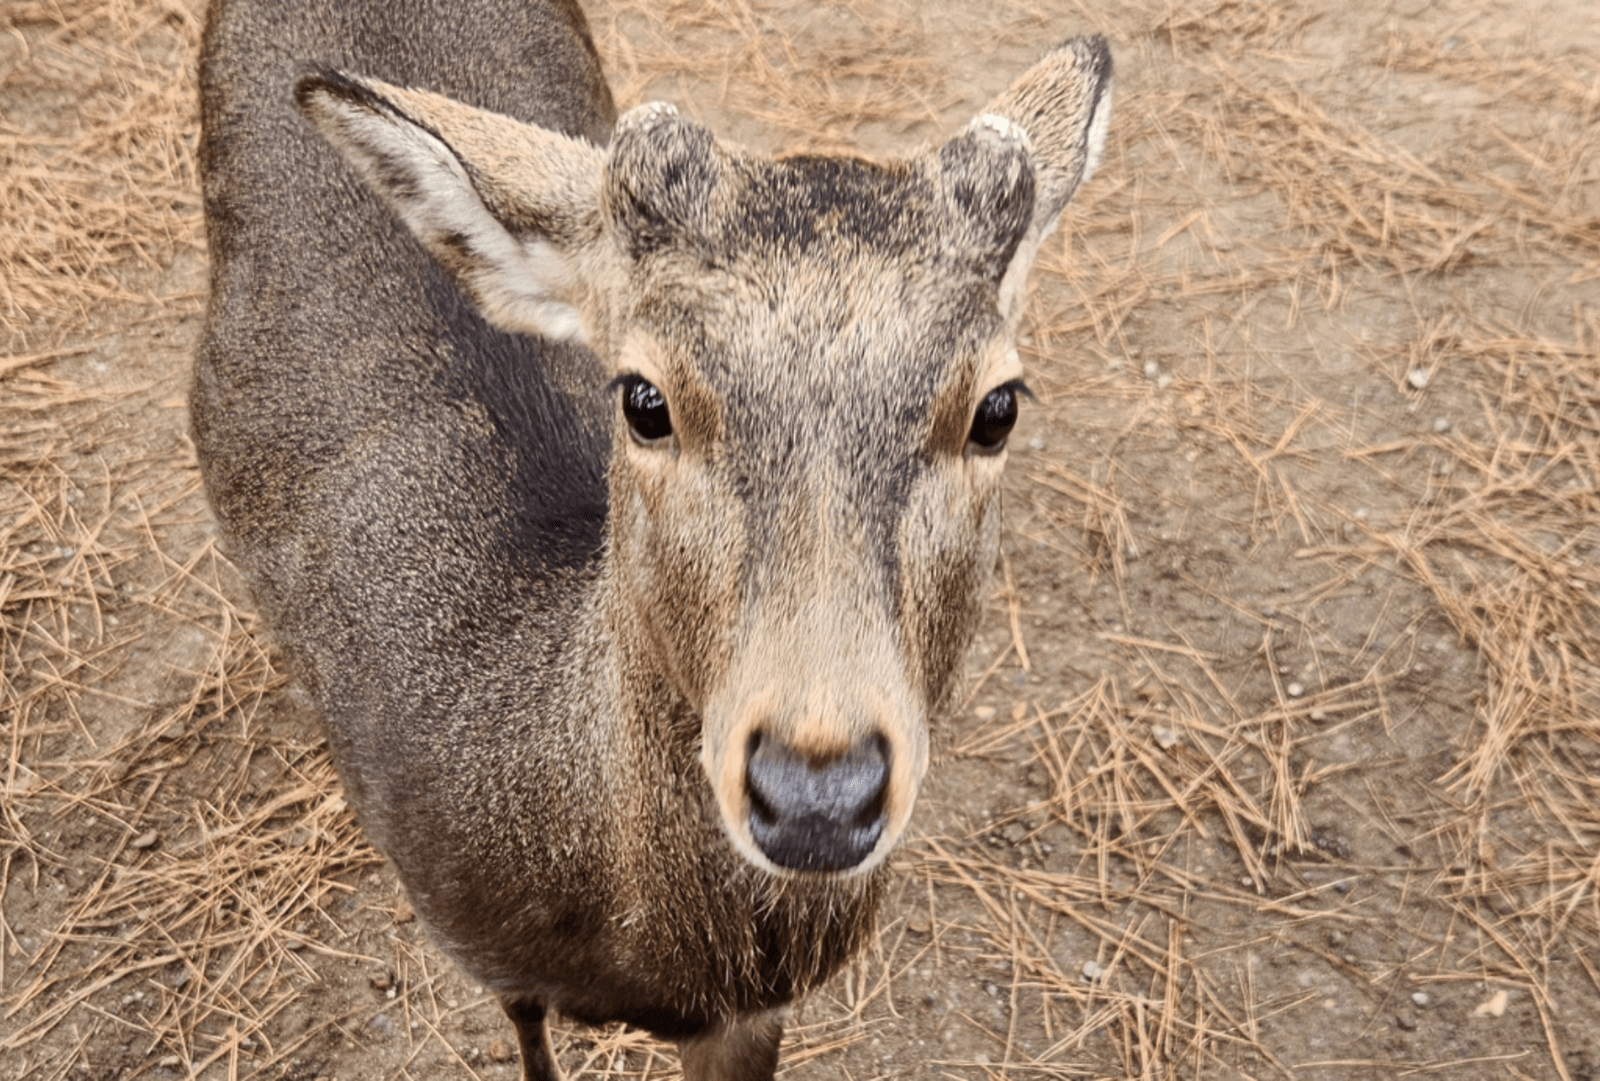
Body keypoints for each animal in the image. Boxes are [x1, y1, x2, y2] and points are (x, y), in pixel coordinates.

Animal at [190, 0, 1113, 1074]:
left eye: (997, 408)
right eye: (643, 399)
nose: (817, 795)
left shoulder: (750, 1016)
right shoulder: (478, 947)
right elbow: (527, 1036)